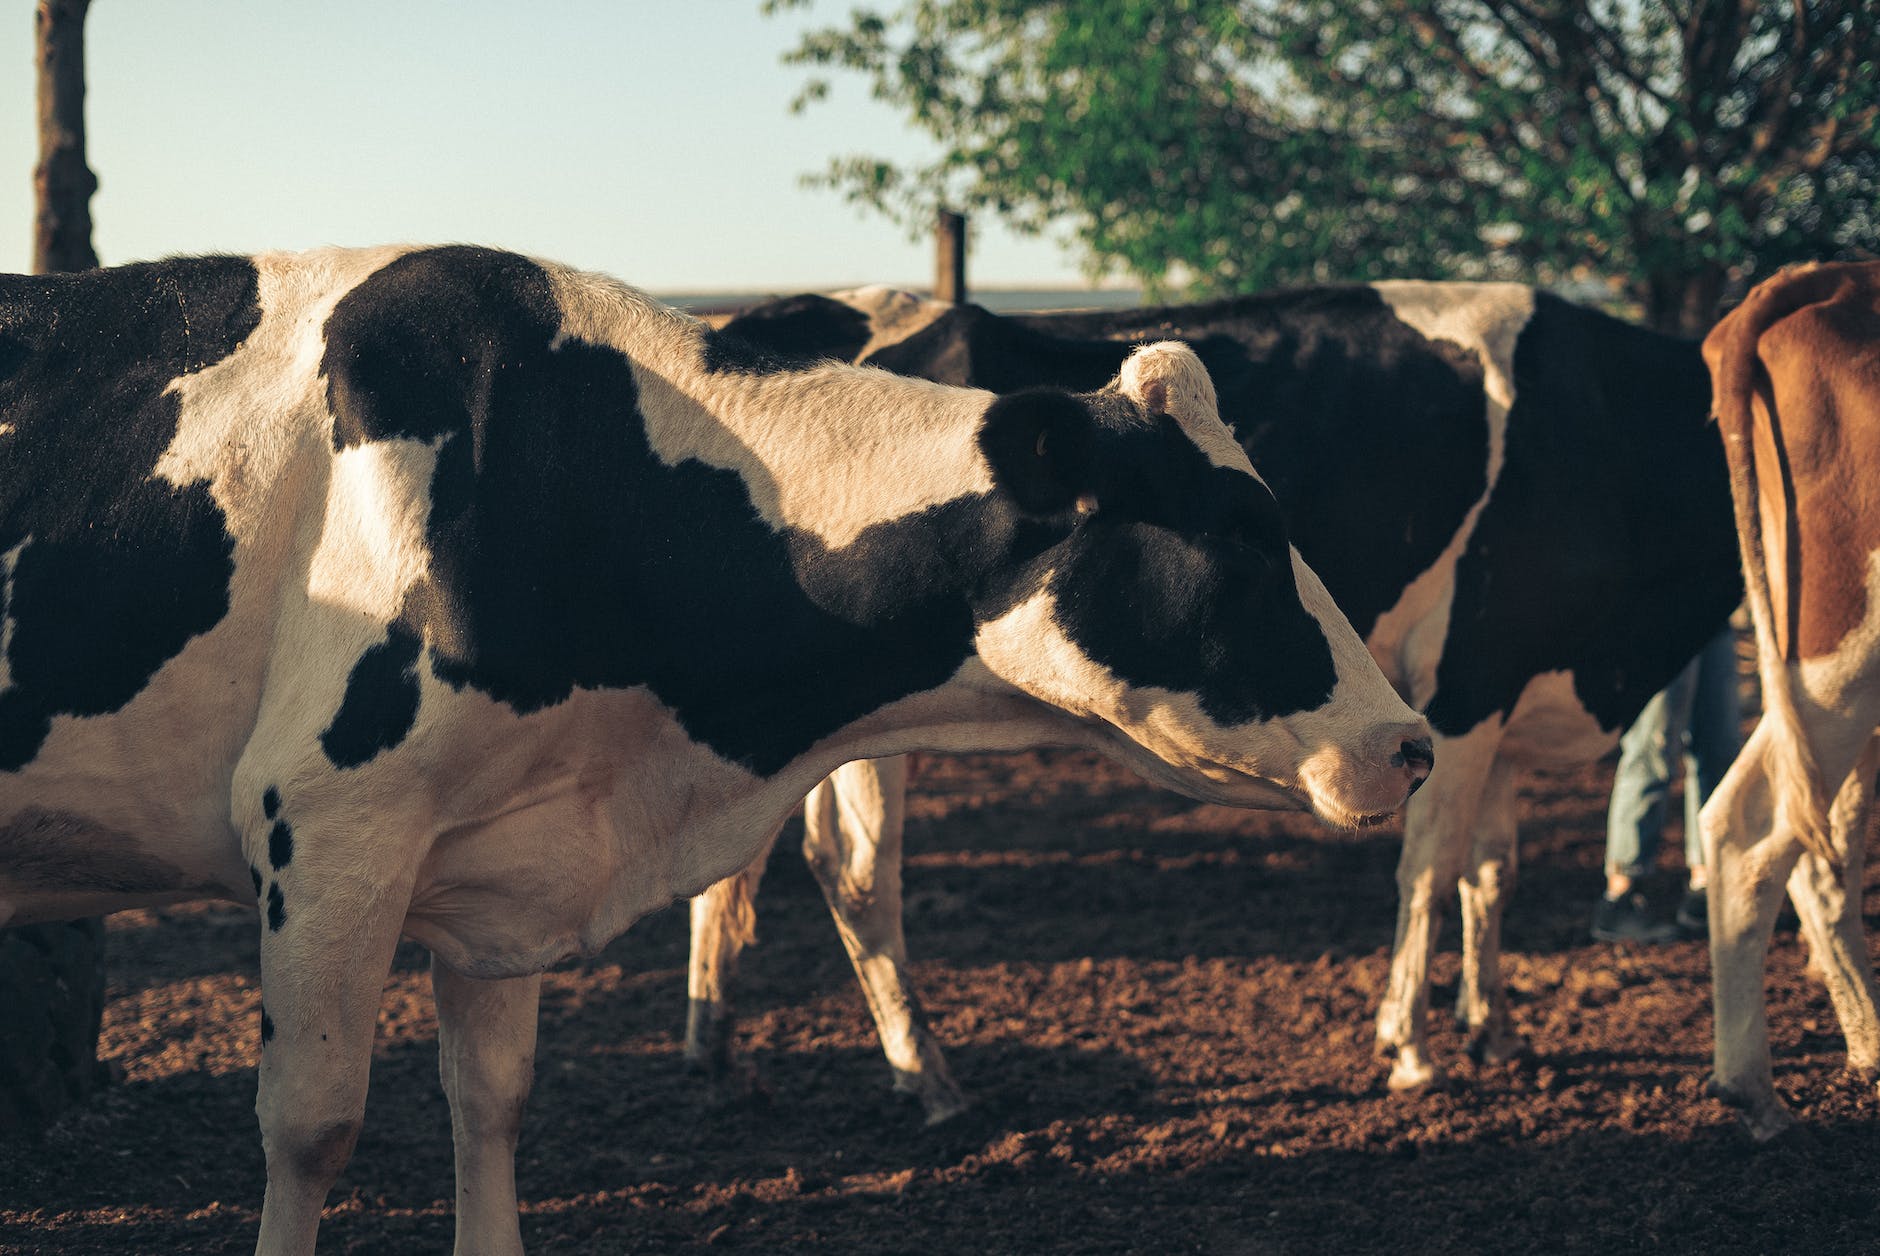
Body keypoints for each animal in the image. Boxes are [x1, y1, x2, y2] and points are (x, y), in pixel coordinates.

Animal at [0, 248, 1421, 1256]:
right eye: (1244, 530)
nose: (1405, 741)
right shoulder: (328, 821)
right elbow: (310, 1125)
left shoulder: (498, 860)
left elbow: (490, 1100)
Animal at [695, 280, 1744, 1113]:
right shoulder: (1467, 685)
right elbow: (1430, 867)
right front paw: (1411, 1047)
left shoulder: (1511, 699)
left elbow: (1492, 872)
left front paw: (1495, 1030)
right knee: (855, 869)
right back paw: (927, 1075)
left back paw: (717, 1051)